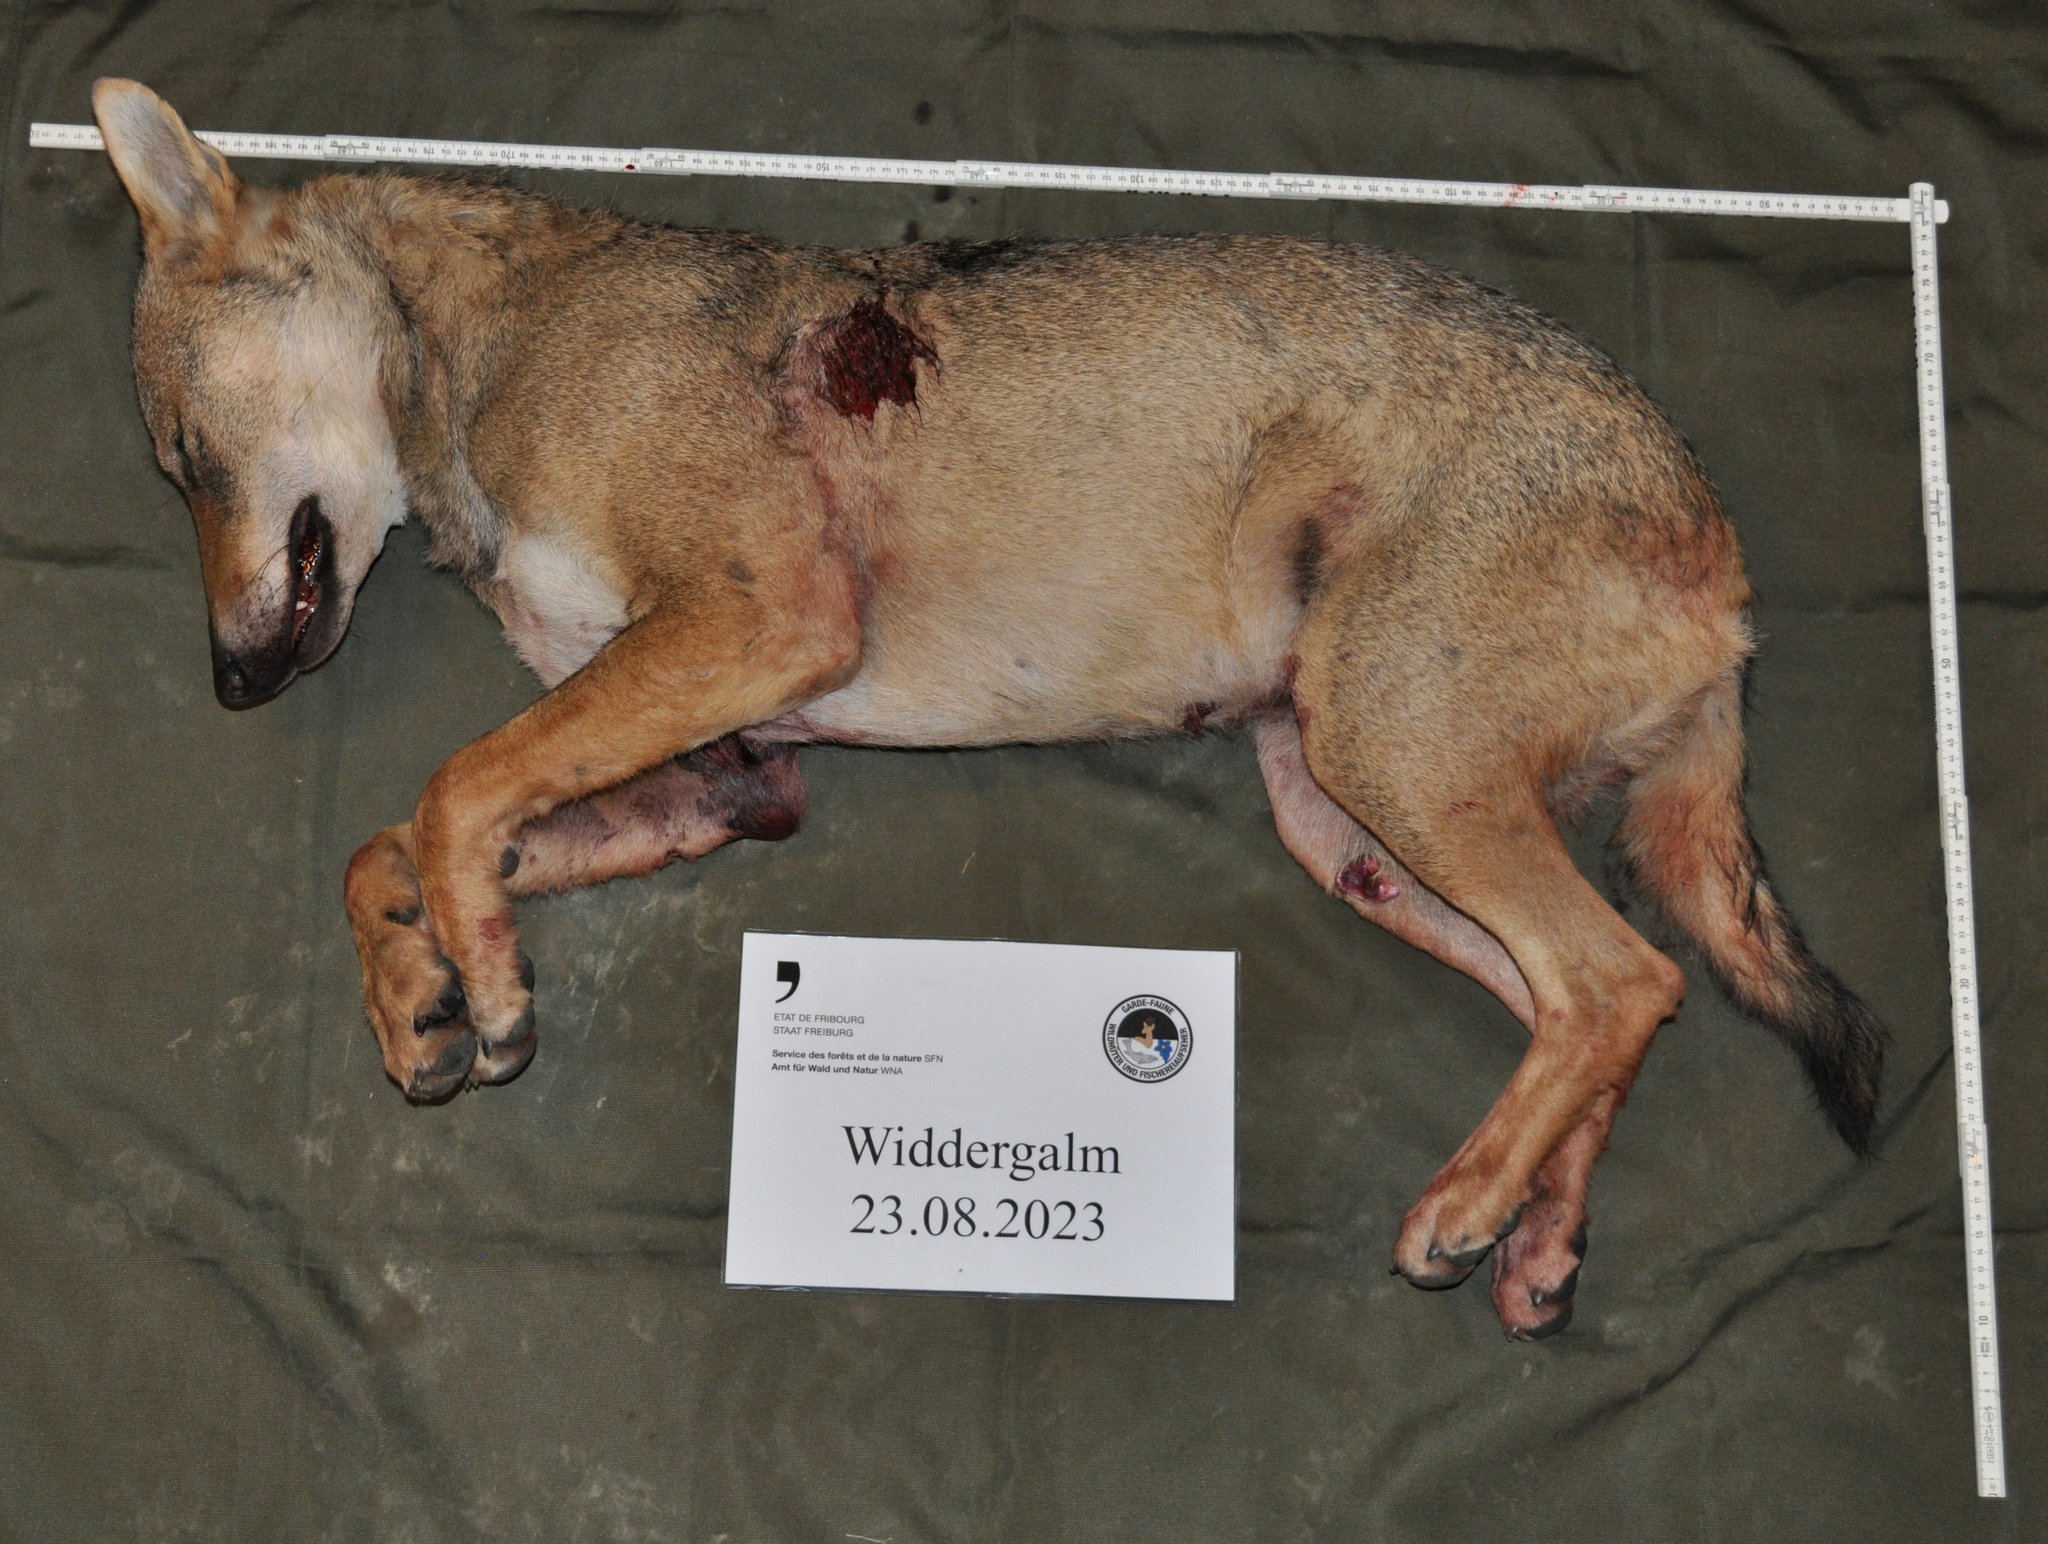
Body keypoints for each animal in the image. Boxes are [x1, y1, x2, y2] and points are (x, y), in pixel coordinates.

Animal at [93, 78, 1885, 1338]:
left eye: (181, 457)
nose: (230, 684)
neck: (472, 354)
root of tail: (1721, 561)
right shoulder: (737, 780)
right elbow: (386, 842)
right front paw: (423, 996)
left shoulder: (756, 627)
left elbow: (451, 788)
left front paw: (488, 985)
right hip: (1350, 825)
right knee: (1601, 999)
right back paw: (1538, 1236)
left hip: (1388, 760)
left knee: (1621, 981)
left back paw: (1468, 1206)